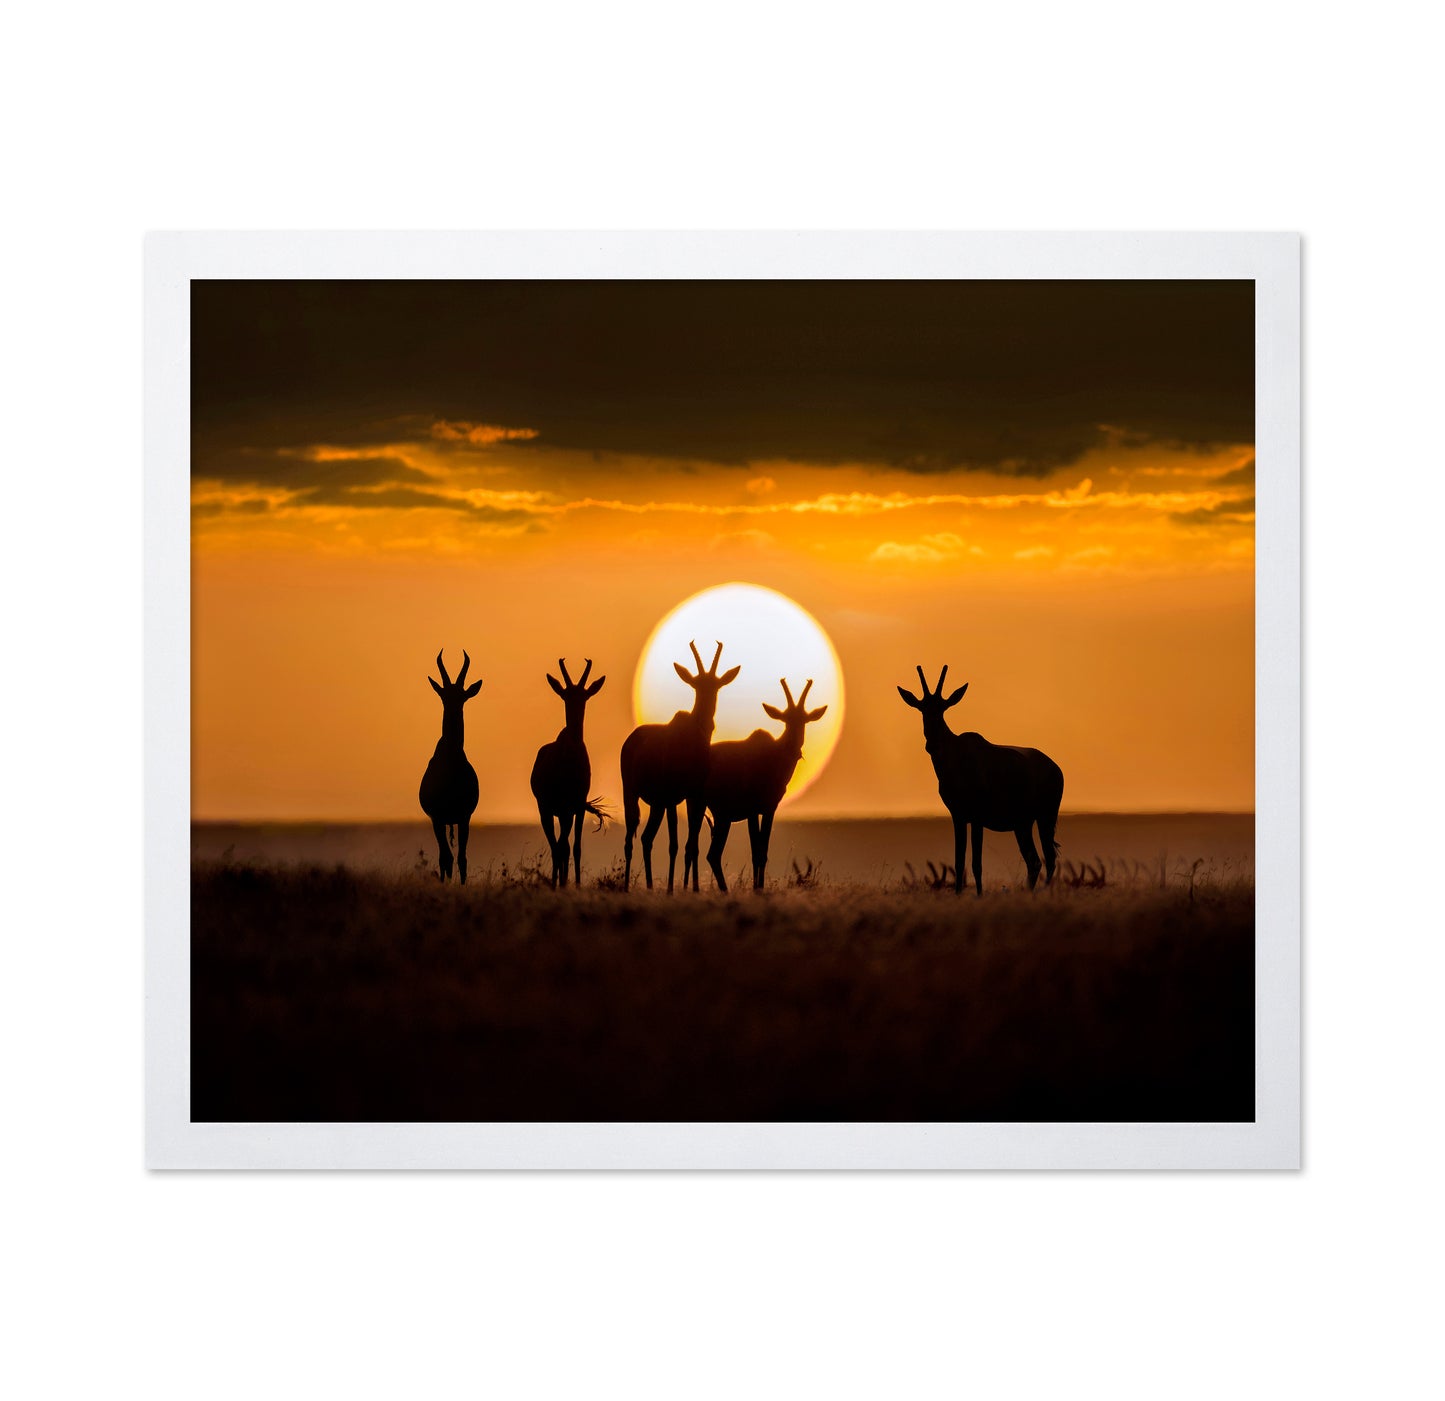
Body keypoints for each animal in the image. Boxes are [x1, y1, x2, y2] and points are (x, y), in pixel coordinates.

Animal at [419, 649, 483, 883]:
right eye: (443, 696)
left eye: (462, 696)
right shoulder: (436, 818)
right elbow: (445, 857)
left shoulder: (465, 817)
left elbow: (462, 858)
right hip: (441, 821)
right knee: (444, 856)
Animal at [529, 657, 607, 888]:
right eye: (565, 695)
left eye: (584, 695)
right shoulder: (561, 808)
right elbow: (561, 846)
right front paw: (560, 883)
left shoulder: (577, 807)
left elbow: (576, 847)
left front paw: (577, 884)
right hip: (546, 810)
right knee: (556, 846)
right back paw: (556, 882)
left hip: (565, 812)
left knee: (562, 845)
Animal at [620, 640, 739, 892]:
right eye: (696, 685)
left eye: (716, 686)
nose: (708, 722)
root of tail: (631, 740)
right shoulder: (671, 799)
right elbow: (674, 844)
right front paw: (672, 890)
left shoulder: (694, 796)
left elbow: (691, 844)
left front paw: (690, 888)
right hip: (633, 794)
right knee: (630, 837)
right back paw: (626, 887)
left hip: (657, 804)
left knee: (646, 838)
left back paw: (650, 886)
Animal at [704, 679, 828, 892]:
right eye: (786, 719)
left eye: (804, 720)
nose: (794, 749)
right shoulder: (753, 811)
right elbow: (756, 851)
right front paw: (756, 889)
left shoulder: (770, 809)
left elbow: (764, 851)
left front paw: (760, 888)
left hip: (721, 816)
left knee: (712, 854)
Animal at [897, 665, 1064, 896]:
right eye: (922, 709)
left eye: (942, 709)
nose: (931, 745)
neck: (957, 754)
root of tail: (1055, 768)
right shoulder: (958, 817)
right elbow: (959, 861)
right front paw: (959, 895)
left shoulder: (977, 818)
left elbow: (977, 863)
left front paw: (978, 896)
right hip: (1023, 824)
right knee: (1034, 860)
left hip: (1045, 817)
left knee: (1049, 858)